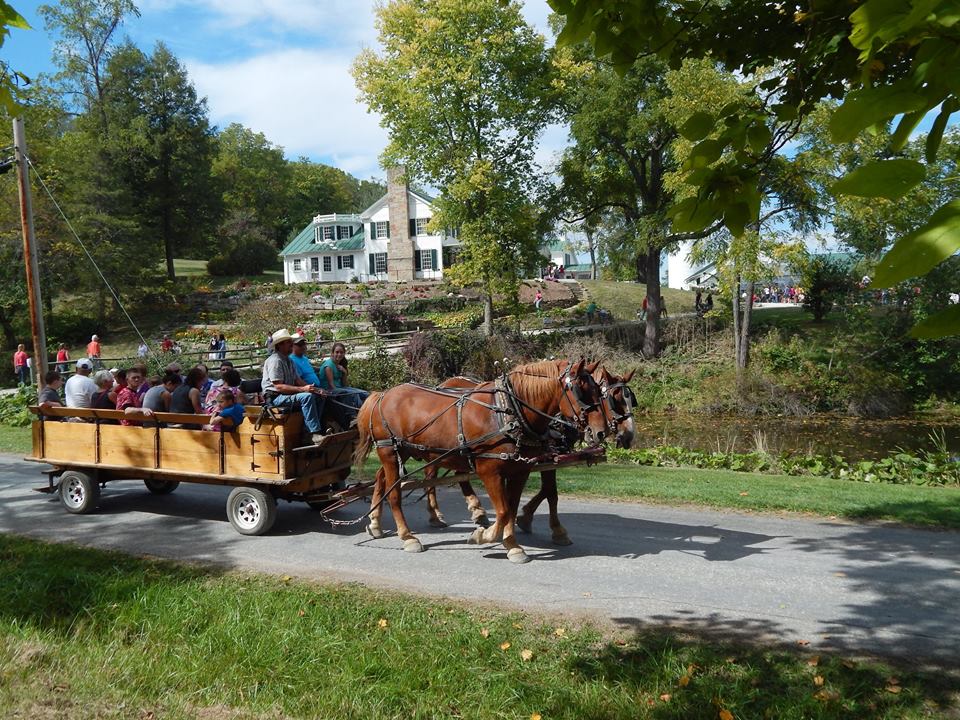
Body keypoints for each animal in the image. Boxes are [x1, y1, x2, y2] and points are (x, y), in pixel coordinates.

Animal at [352, 358, 608, 564]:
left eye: (598, 390)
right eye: (580, 391)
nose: (601, 432)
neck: (507, 412)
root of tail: (382, 394)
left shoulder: (520, 470)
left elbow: (512, 508)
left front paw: (512, 545)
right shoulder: (489, 470)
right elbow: (503, 511)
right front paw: (484, 535)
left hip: (400, 452)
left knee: (381, 480)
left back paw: (375, 523)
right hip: (389, 451)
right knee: (394, 493)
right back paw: (407, 536)